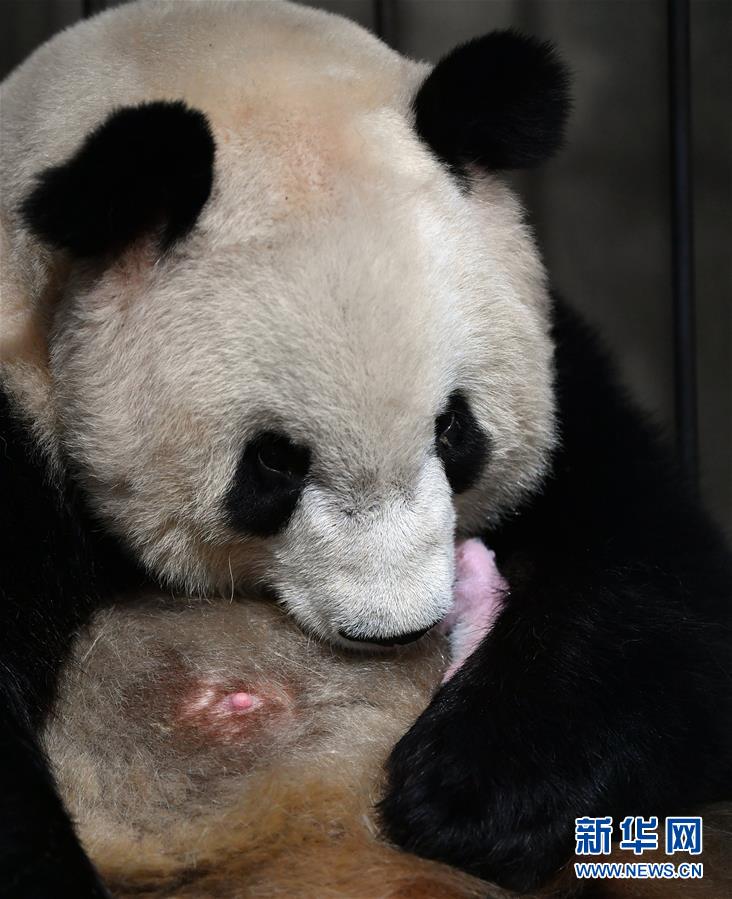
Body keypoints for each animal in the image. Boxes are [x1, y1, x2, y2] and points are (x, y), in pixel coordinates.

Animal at [1, 1, 730, 897]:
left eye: (454, 429)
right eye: (275, 461)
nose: (396, 628)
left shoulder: (562, 367)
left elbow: (656, 581)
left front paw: (474, 792)